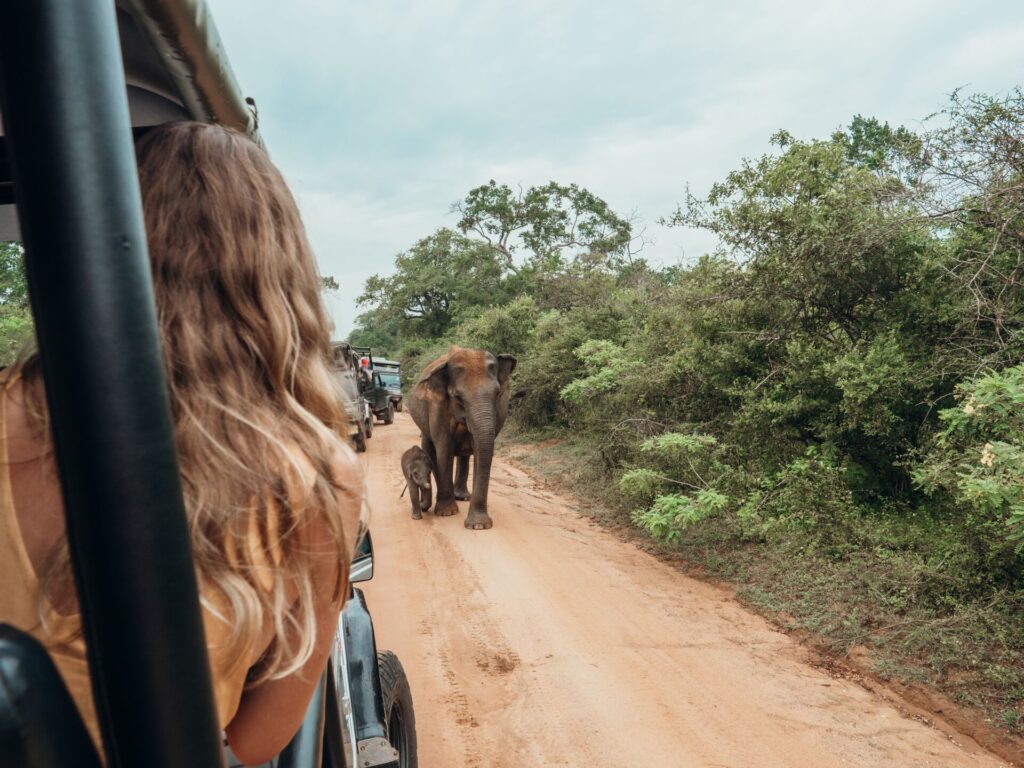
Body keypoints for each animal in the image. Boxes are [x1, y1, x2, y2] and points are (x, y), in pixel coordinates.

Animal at [408, 346, 516, 530]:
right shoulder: (438, 408)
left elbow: (480, 451)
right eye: (458, 397)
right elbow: (444, 449)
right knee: (430, 446)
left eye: (497, 394)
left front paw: (478, 525)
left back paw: (462, 496)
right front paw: (446, 513)